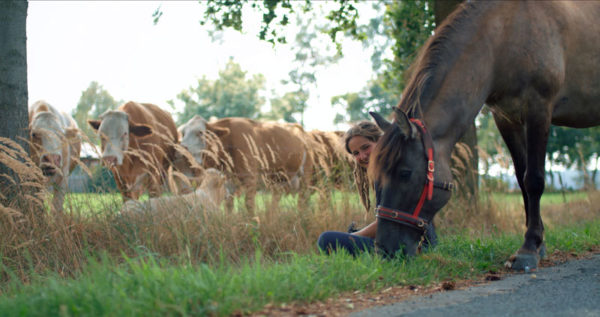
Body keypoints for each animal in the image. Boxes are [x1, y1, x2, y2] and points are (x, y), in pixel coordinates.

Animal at [176, 114, 312, 212]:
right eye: (183, 133)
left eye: (200, 132)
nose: (182, 148)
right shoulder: (228, 181)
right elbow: (229, 205)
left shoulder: (250, 178)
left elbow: (249, 204)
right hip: (278, 180)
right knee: (276, 199)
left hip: (305, 176)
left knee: (303, 200)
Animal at [368, 1, 600, 270]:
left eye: (404, 173)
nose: (385, 251)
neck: (505, 35)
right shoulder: (506, 118)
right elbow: (521, 179)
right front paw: (538, 245)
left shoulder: (539, 109)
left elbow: (534, 180)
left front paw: (529, 249)